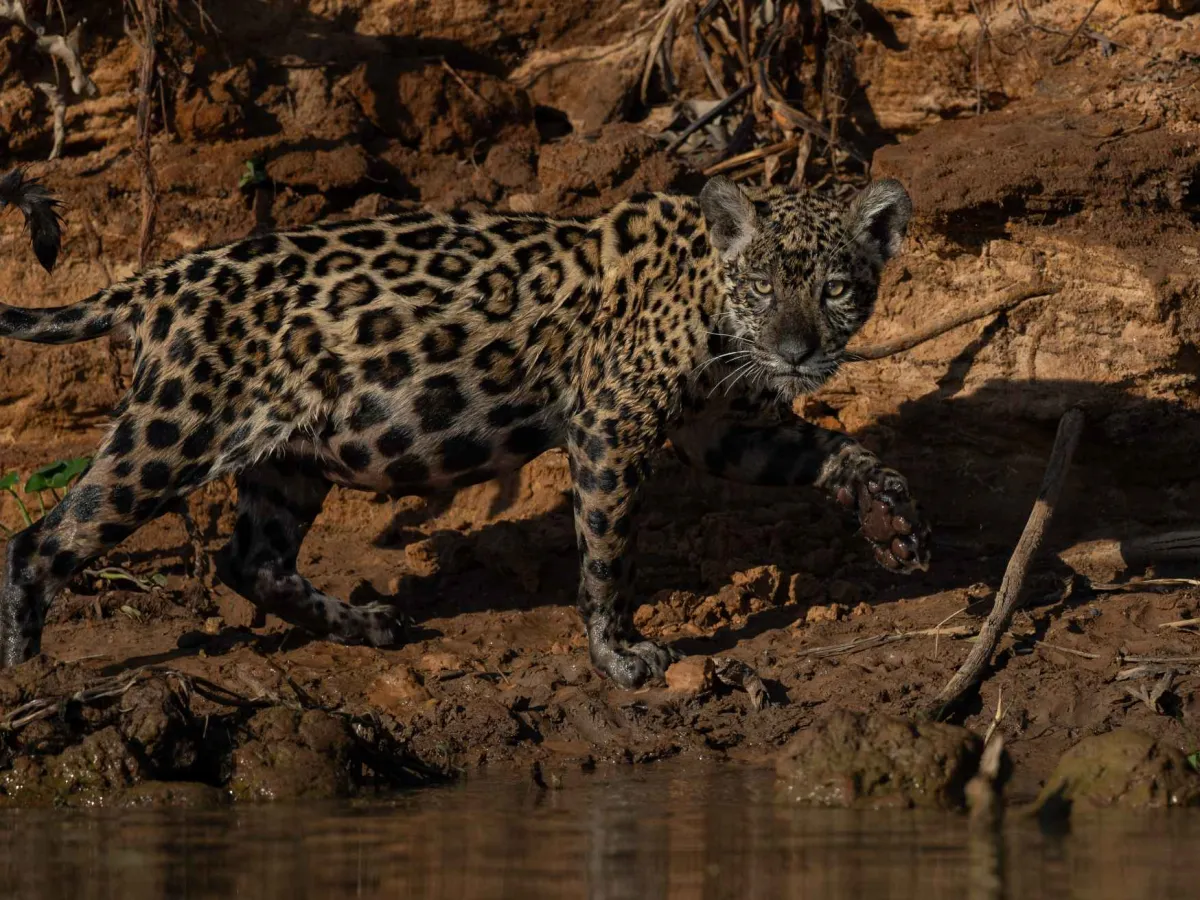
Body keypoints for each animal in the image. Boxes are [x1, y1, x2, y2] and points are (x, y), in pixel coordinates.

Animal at [0, 168, 931, 688]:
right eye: (764, 286)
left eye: (837, 288)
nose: (797, 352)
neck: (708, 296)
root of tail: (152, 281)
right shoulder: (615, 421)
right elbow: (609, 550)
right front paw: (617, 654)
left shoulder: (720, 426)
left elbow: (836, 448)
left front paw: (896, 522)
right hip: (172, 432)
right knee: (44, 539)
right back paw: (19, 665)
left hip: (289, 457)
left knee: (250, 557)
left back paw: (367, 626)